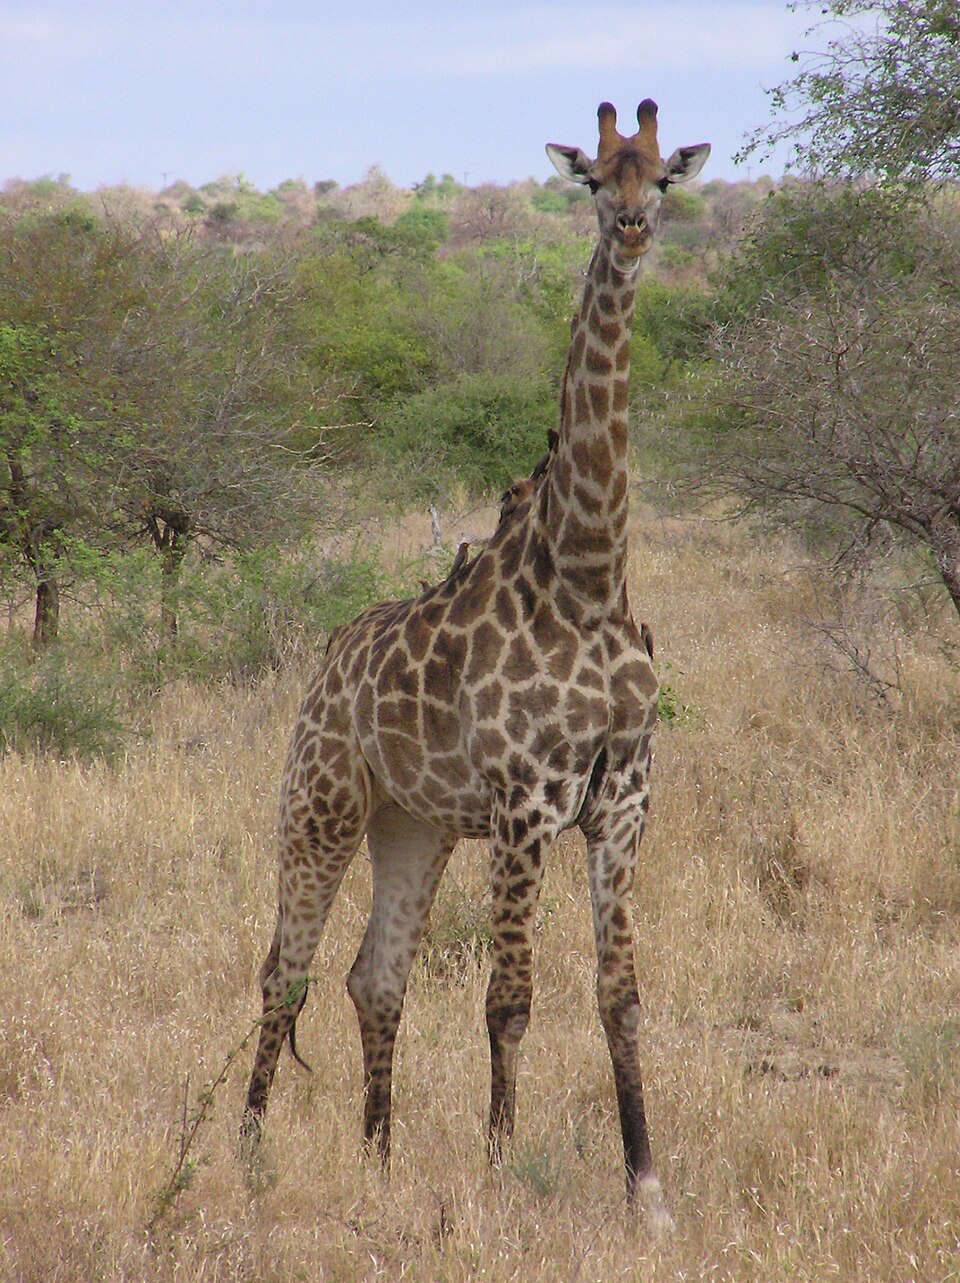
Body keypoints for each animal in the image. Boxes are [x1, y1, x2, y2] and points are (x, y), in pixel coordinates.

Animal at [240, 98, 709, 1227]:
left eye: (663, 177)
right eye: (593, 179)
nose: (633, 228)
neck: (588, 576)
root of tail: (324, 663)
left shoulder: (623, 804)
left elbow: (620, 997)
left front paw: (648, 1190)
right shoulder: (526, 804)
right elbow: (511, 1001)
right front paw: (500, 1174)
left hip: (414, 824)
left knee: (374, 976)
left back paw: (376, 1160)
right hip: (319, 801)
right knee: (284, 969)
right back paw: (246, 1156)